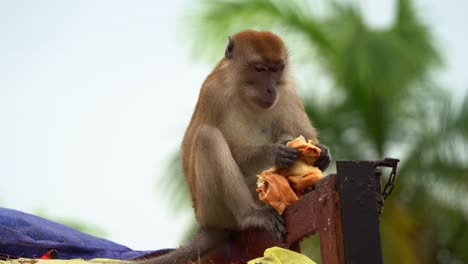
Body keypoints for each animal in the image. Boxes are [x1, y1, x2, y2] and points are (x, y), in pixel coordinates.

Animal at [141, 29, 330, 262]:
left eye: (276, 69)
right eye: (259, 69)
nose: (270, 89)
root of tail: (205, 224)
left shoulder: (286, 91)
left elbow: (303, 133)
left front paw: (322, 154)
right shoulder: (215, 94)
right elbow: (234, 151)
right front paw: (275, 152)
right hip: (213, 210)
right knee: (207, 138)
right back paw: (251, 215)